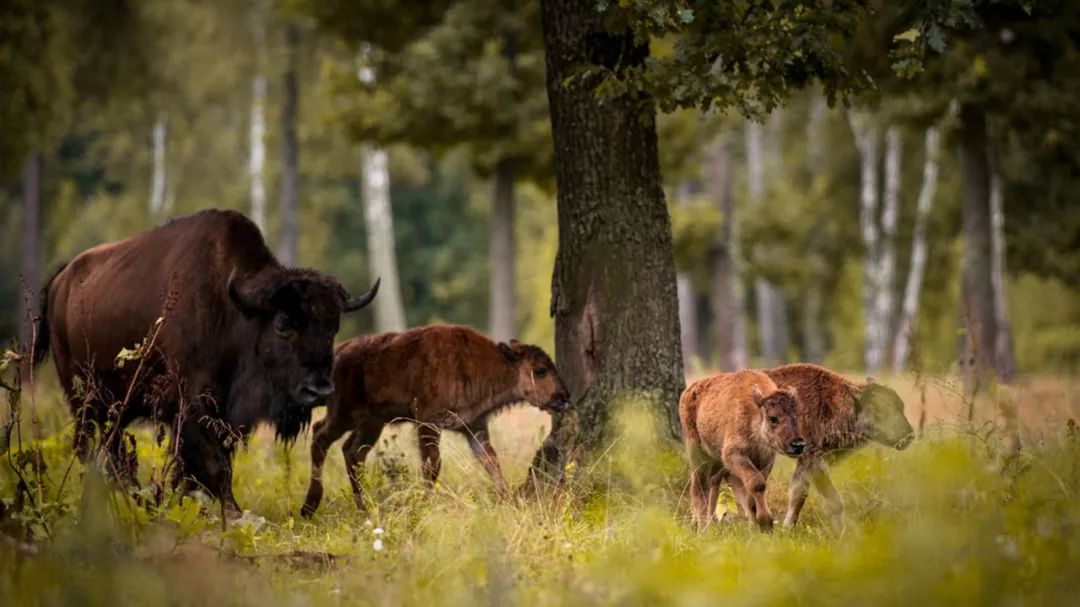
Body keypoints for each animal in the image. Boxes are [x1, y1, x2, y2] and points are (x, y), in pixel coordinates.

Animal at [32, 207, 380, 509]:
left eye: (333, 326)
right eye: (282, 324)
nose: (318, 390)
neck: (234, 311)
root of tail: (60, 280)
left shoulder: (223, 414)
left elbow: (211, 464)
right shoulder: (191, 405)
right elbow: (213, 465)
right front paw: (232, 512)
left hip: (116, 405)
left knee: (111, 448)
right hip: (85, 398)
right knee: (91, 446)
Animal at [300, 324, 570, 511]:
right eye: (540, 370)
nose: (564, 397)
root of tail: (341, 350)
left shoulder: (474, 427)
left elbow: (491, 460)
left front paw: (506, 500)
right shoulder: (428, 423)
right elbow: (432, 465)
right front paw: (424, 503)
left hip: (372, 423)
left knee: (352, 452)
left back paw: (363, 506)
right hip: (344, 414)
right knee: (320, 435)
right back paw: (310, 505)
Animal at [678, 369, 807, 529]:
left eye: (798, 416)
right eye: (773, 418)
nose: (798, 444)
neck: (755, 414)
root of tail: (688, 391)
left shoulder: (766, 461)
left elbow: (752, 495)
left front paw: (759, 525)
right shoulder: (734, 455)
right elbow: (757, 484)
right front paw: (765, 521)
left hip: (716, 460)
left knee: (713, 482)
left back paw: (709, 522)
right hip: (696, 451)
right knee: (699, 485)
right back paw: (701, 525)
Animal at [764, 360, 915, 531]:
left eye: (901, 407)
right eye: (879, 409)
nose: (908, 436)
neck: (830, 402)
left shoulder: (806, 463)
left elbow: (798, 494)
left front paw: (787, 528)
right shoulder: (814, 460)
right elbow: (834, 503)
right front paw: (842, 533)